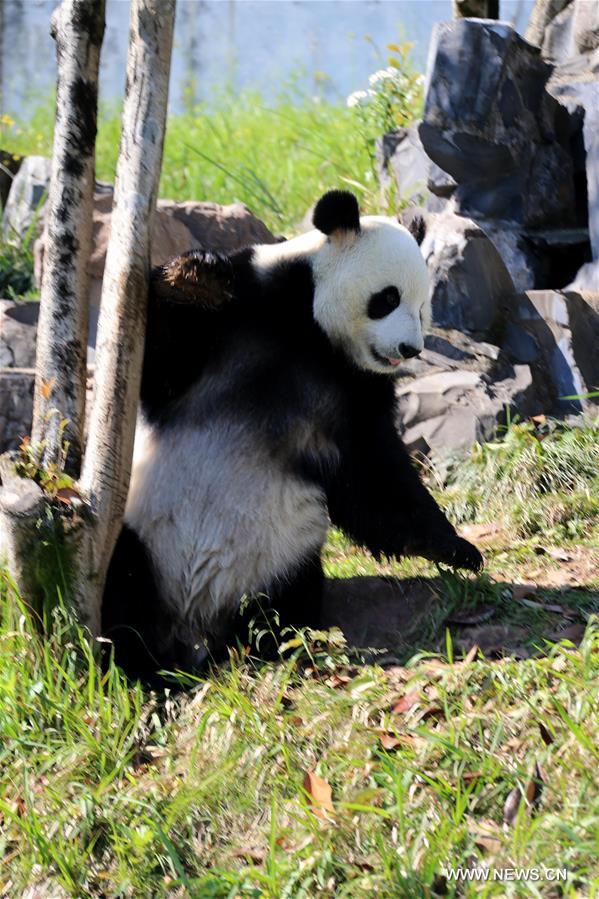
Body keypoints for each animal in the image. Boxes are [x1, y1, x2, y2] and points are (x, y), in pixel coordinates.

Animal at [103, 192, 486, 684]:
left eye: (423, 308)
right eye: (387, 298)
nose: (410, 349)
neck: (310, 330)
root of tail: (194, 627)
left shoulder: (353, 388)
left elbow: (373, 476)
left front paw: (457, 549)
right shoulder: (248, 310)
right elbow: (153, 364)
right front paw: (195, 279)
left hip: (277, 559)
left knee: (287, 598)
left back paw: (258, 647)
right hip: (146, 533)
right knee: (121, 582)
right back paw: (140, 667)